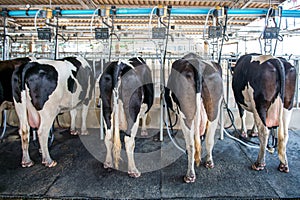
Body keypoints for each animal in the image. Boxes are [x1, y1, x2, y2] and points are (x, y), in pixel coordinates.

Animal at [165, 52, 224, 183]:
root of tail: (198, 64)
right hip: (214, 109)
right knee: (209, 139)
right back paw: (209, 162)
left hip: (185, 113)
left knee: (191, 144)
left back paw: (190, 175)